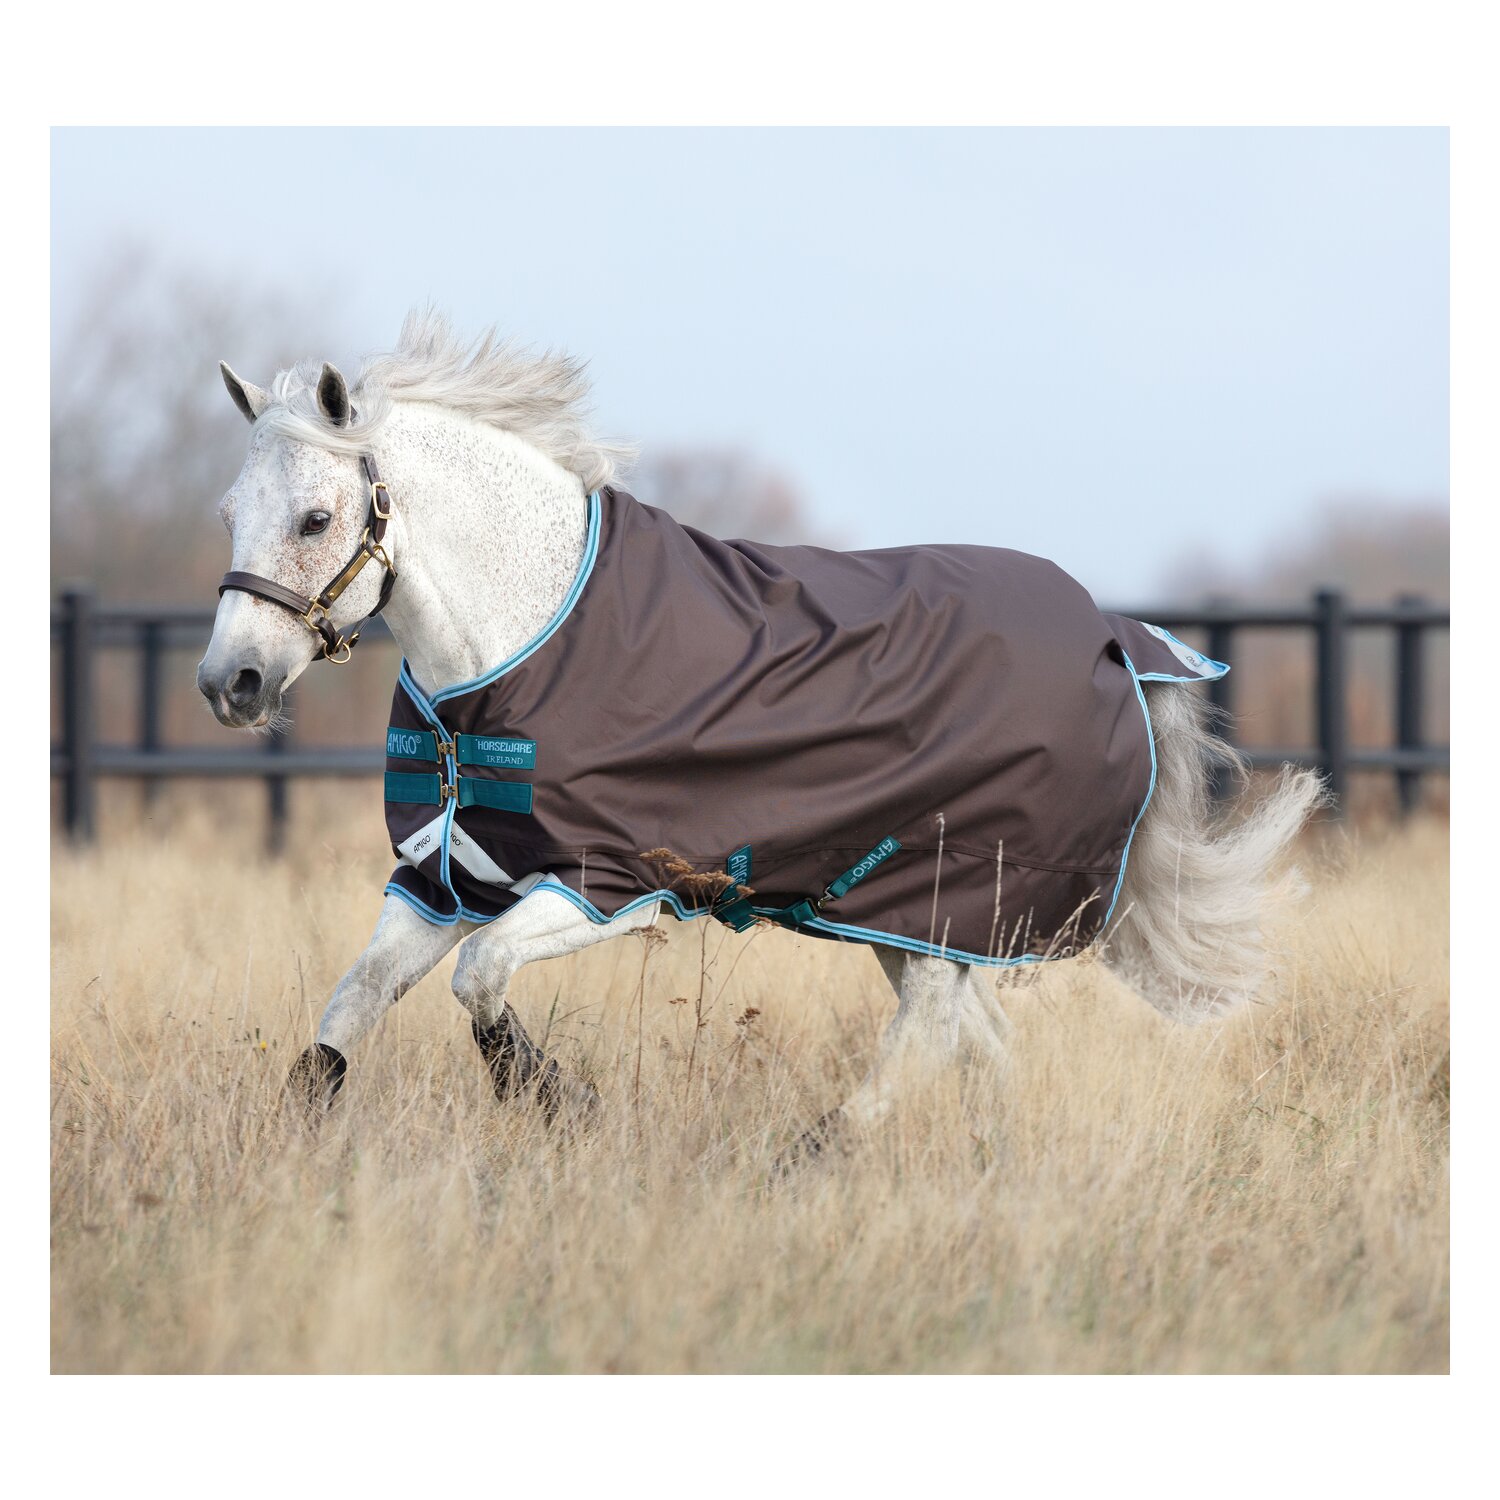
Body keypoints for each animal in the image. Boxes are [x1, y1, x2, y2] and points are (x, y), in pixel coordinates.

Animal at [198, 310, 1322, 1160]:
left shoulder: (606, 883)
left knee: (930, 1036)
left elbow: (480, 982)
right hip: (900, 913)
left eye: (314, 518)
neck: (526, 641)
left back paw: (817, 1152)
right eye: (229, 511)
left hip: (948, 896)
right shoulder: (445, 878)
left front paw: (559, 1103)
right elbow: (348, 1011)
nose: (229, 683)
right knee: (975, 1040)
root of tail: (1118, 639)